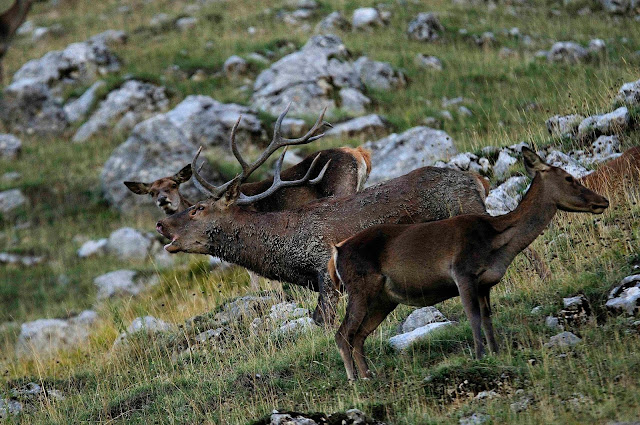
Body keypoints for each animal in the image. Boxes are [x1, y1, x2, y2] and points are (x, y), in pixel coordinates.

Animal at [155, 109, 492, 327]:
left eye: (198, 208)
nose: (160, 223)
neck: (289, 253)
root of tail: (478, 180)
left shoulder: (327, 270)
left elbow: (322, 320)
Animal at [327, 147, 609, 380]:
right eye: (569, 178)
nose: (603, 201)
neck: (496, 244)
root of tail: (336, 254)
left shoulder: (485, 283)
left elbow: (487, 318)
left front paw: (496, 351)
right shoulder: (462, 273)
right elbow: (473, 317)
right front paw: (479, 355)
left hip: (384, 299)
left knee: (358, 335)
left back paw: (368, 375)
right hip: (360, 288)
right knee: (342, 334)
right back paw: (354, 380)